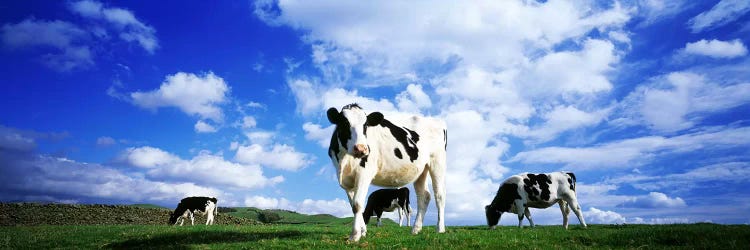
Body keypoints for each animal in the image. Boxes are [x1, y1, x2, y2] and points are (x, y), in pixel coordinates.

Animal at [328, 102, 446, 241]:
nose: (361, 149)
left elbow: (357, 204)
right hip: (421, 170)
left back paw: (440, 228)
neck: (345, 159)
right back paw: (416, 229)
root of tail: (435, 120)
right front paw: (363, 231)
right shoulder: (346, 180)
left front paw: (354, 235)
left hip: (438, 162)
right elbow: (353, 205)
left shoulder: (364, 173)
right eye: (344, 123)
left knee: (439, 196)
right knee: (424, 196)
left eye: (365, 125)